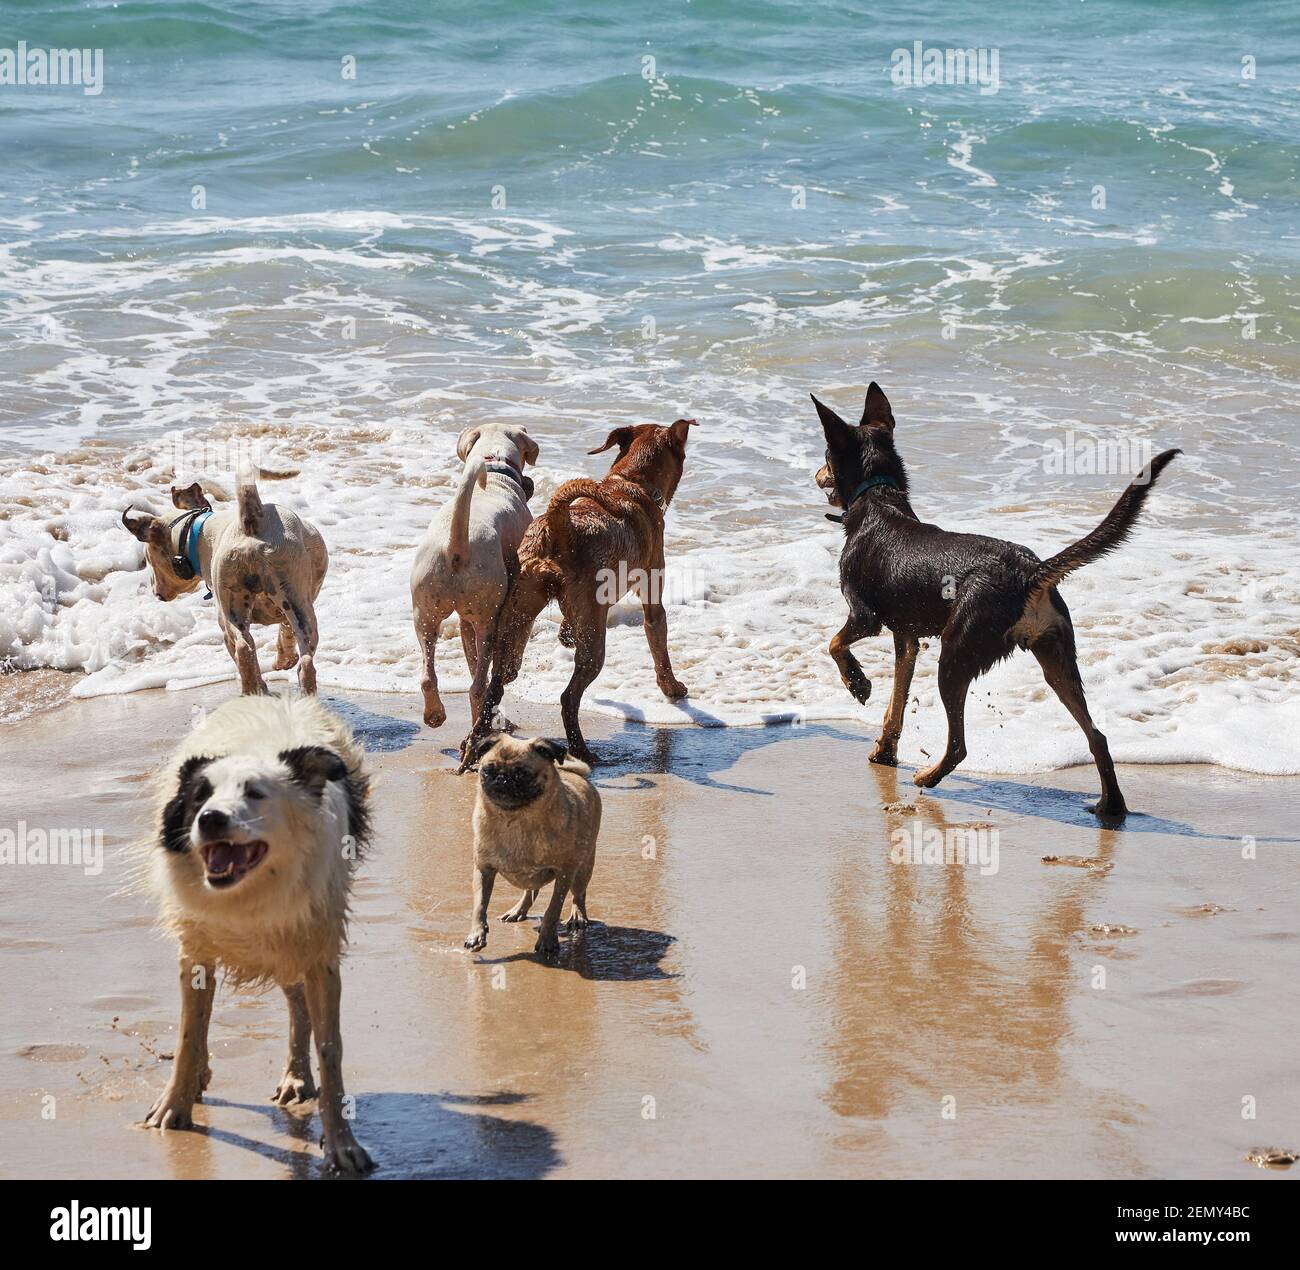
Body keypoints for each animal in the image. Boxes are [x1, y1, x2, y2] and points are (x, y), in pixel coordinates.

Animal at [144, 686, 374, 1175]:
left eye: (255, 793)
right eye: (200, 796)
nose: (210, 819)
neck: (248, 895)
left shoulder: (316, 946)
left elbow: (330, 1049)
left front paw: (342, 1145)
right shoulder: (197, 947)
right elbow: (189, 1033)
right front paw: (173, 1106)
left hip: (292, 945)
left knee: (296, 1003)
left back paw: (296, 1076)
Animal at [413, 423, 540, 727]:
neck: (493, 467)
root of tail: (457, 543)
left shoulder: (463, 621)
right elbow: (516, 647)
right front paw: (510, 672)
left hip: (425, 613)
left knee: (429, 676)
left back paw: (436, 714)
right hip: (486, 621)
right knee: (479, 685)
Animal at [462, 421, 696, 769]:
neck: (631, 483)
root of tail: (560, 524)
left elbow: (567, 627)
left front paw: (566, 635)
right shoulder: (652, 595)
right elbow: (659, 643)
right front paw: (673, 688)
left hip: (515, 616)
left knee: (493, 687)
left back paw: (471, 746)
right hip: (591, 642)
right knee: (568, 696)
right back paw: (581, 749)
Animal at [465, 733, 600, 951]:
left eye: (522, 774)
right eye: (487, 770)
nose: (502, 777)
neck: (515, 819)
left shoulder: (564, 873)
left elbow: (553, 910)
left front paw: (547, 939)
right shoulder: (483, 870)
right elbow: (479, 905)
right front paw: (476, 934)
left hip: (583, 868)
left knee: (579, 894)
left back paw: (578, 916)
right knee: (530, 891)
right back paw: (518, 910)